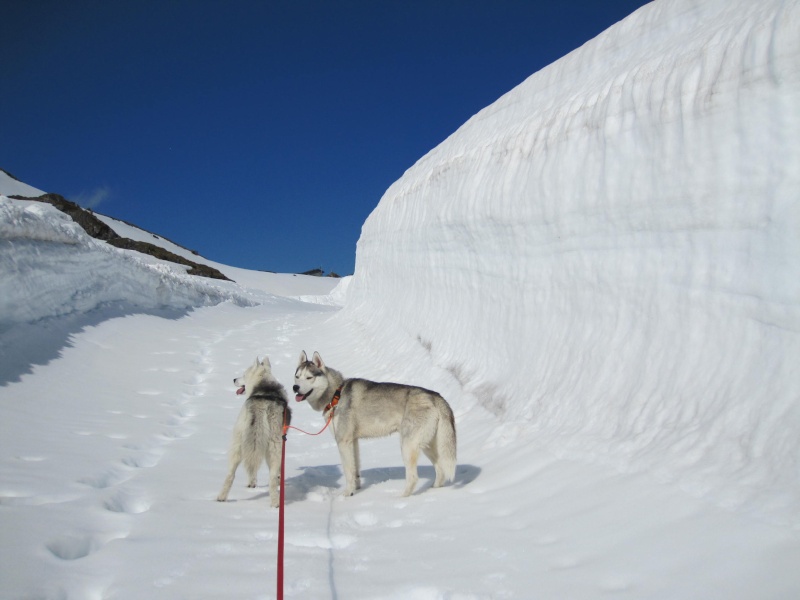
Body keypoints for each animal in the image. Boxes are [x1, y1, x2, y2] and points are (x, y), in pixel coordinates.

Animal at [217, 356, 292, 506]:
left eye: (244, 375)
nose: (234, 379)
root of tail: (260, 406)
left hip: (238, 443)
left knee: (231, 474)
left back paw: (222, 497)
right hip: (275, 447)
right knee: (272, 477)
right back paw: (275, 503)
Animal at [294, 350, 456, 494]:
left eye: (309, 377)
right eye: (297, 377)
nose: (295, 387)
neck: (336, 394)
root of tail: (436, 396)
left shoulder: (343, 442)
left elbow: (348, 472)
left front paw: (347, 494)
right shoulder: (353, 441)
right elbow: (355, 470)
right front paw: (356, 490)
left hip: (407, 446)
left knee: (413, 478)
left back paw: (400, 498)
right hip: (428, 445)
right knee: (440, 470)